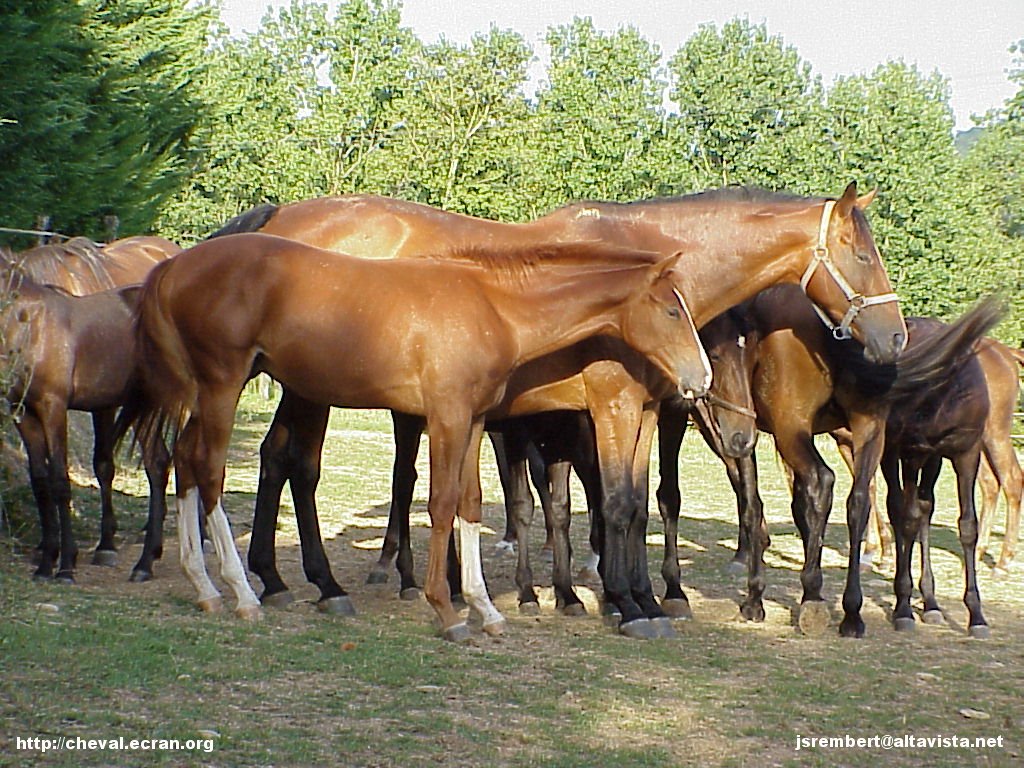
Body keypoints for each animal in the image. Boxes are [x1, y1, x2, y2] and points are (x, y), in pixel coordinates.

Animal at [121, 236, 712, 643]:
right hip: (223, 383)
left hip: (209, 391)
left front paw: (486, 610)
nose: (700, 379)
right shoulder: (447, 416)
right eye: (670, 309)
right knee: (209, 471)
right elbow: (442, 503)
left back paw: (204, 587)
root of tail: (172, 267)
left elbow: (470, 504)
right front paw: (447, 610)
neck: (492, 305)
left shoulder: (474, 419)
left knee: (184, 461)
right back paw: (243, 593)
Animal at [220, 182, 909, 638]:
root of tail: (281, 217)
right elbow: (615, 504)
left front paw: (641, 599)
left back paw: (278, 580)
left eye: (752, 350)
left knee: (277, 458)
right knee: (296, 465)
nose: (896, 339)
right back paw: (319, 583)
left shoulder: (644, 413)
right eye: (862, 256)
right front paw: (626, 605)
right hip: (313, 390)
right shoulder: (610, 408)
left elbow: (633, 506)